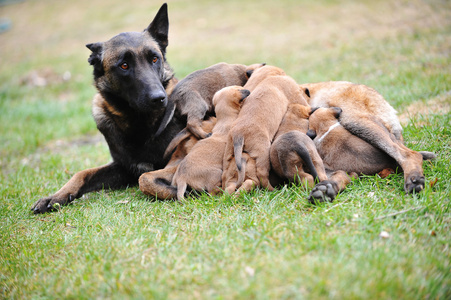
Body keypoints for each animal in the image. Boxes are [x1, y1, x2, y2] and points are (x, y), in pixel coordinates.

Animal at [30, 2, 185, 213]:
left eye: (154, 59)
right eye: (124, 65)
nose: (159, 98)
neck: (138, 124)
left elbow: (146, 179)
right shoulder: (124, 168)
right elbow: (83, 173)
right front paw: (55, 196)